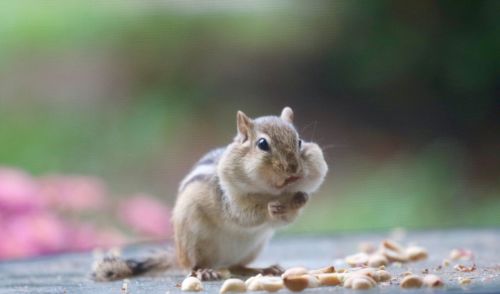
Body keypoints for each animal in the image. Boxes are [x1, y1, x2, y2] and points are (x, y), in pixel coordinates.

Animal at [92, 107, 328, 282]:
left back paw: (263, 269)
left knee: (237, 265)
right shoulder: (229, 198)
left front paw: (301, 198)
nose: (293, 169)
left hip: (253, 247)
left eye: (299, 141)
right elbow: (244, 214)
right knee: (191, 266)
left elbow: (287, 218)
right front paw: (269, 207)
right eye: (262, 144)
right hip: (190, 240)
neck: (272, 192)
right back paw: (204, 271)